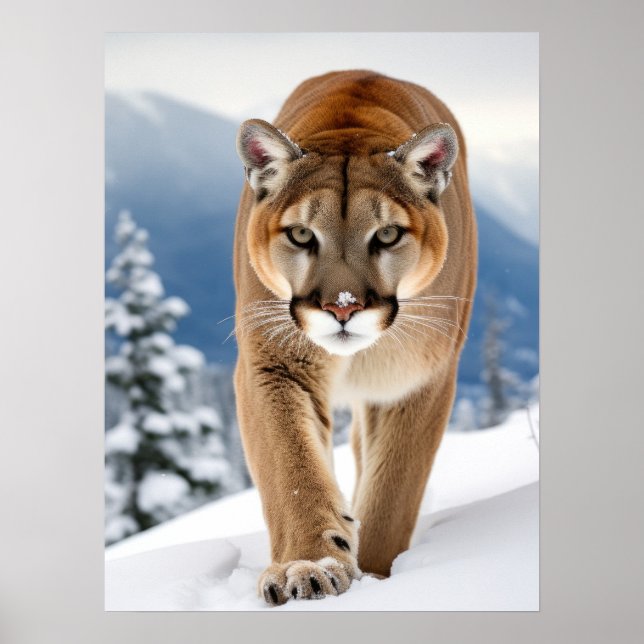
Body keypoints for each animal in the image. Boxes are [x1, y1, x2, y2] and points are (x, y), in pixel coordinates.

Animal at [232, 70, 477, 605]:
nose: (342, 307)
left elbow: (392, 491)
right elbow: (293, 468)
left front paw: (380, 577)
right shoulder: (273, 362)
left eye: (386, 235)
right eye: (302, 235)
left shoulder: (417, 380)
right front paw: (308, 564)